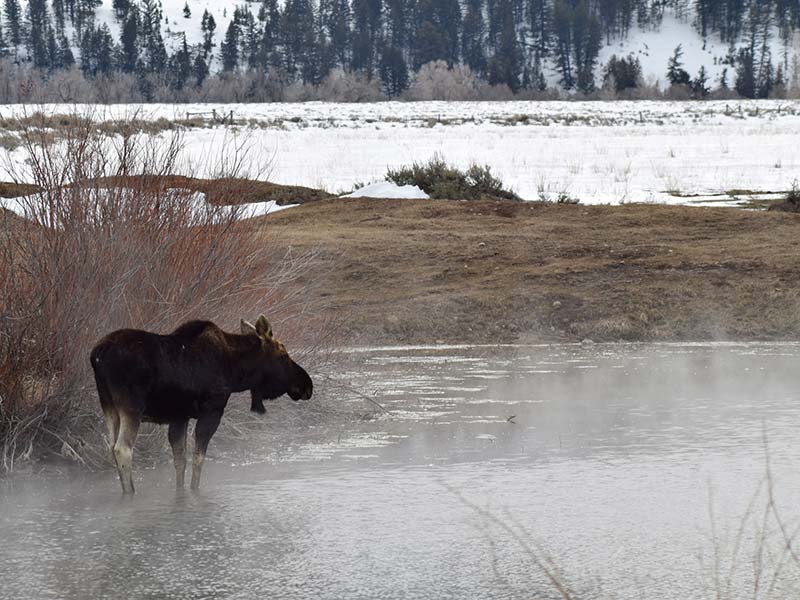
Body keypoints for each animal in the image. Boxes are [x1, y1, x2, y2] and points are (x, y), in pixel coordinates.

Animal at [89, 316, 310, 494]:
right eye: (283, 356)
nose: (308, 385)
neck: (236, 370)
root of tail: (96, 355)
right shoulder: (212, 411)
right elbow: (199, 459)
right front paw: (194, 491)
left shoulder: (179, 416)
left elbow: (180, 460)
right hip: (131, 408)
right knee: (122, 449)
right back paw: (130, 493)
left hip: (109, 407)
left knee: (111, 446)